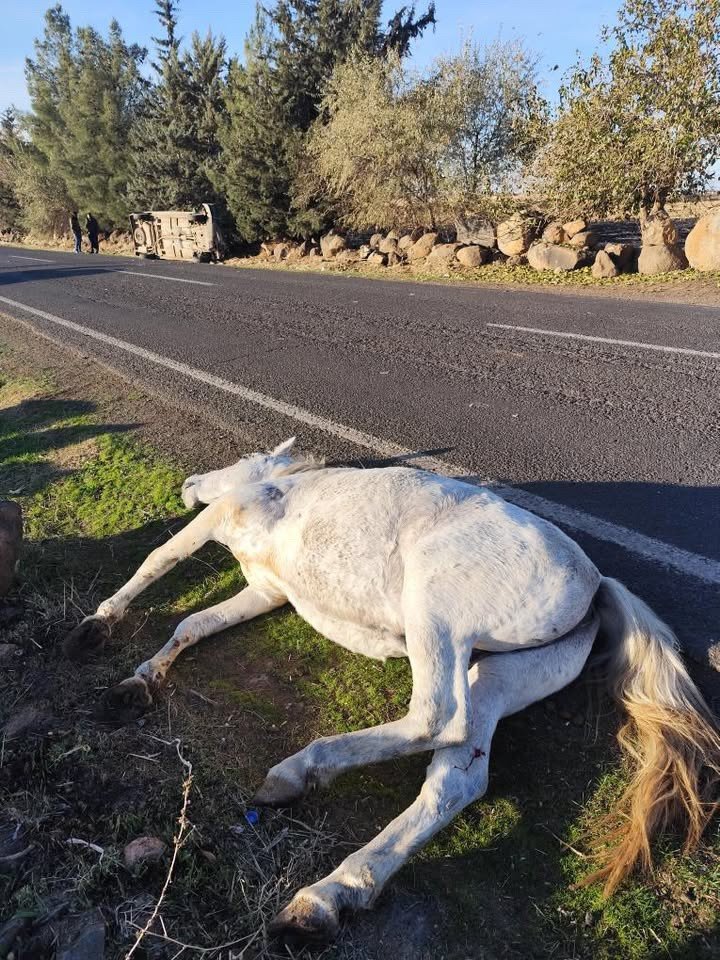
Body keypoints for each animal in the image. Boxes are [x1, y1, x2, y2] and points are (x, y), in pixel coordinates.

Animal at [64, 442, 716, 944]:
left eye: (245, 460)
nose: (188, 484)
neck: (282, 489)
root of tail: (595, 584)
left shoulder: (220, 519)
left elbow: (159, 558)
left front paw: (97, 626)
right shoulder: (267, 593)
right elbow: (193, 625)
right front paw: (139, 681)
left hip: (436, 613)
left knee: (437, 717)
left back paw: (297, 774)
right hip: (497, 676)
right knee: (457, 777)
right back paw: (325, 899)